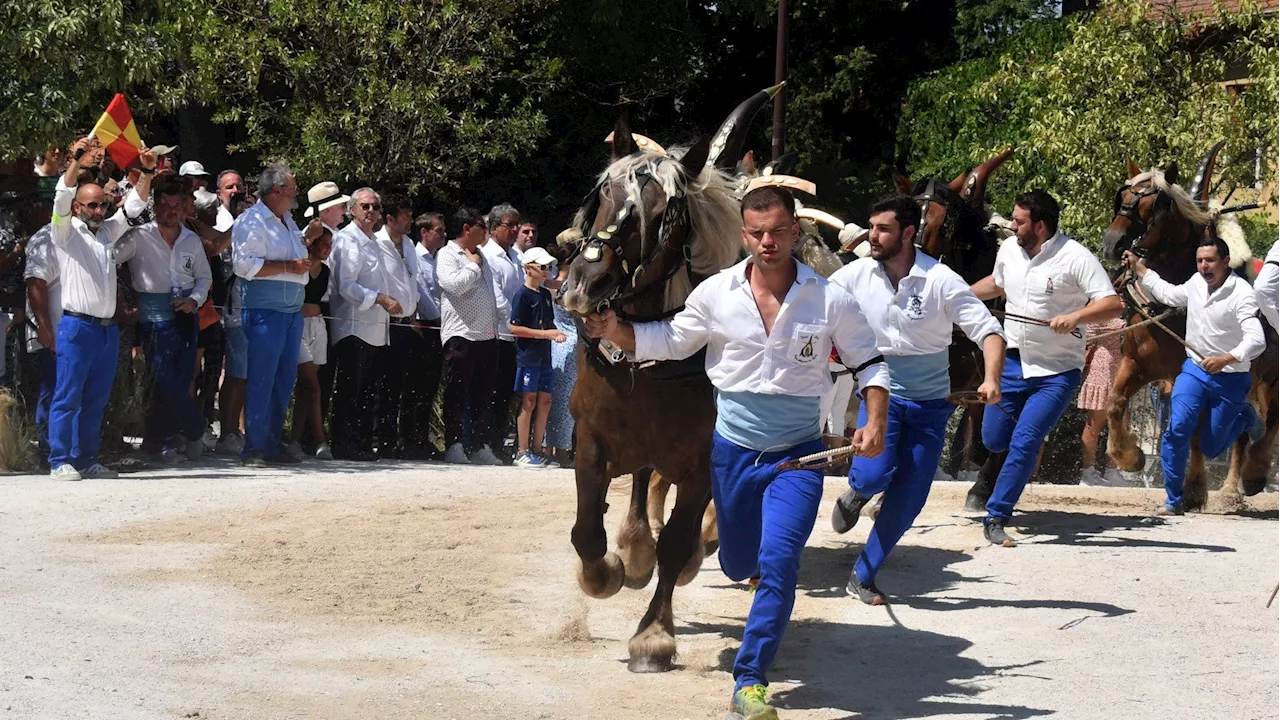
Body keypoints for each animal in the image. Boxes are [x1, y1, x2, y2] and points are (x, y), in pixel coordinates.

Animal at [560, 88, 768, 666]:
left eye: (666, 214)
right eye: (605, 194)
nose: (585, 283)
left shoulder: (702, 461)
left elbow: (677, 543)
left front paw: (654, 633)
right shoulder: (591, 439)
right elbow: (587, 532)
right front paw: (609, 570)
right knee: (640, 484)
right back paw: (634, 549)